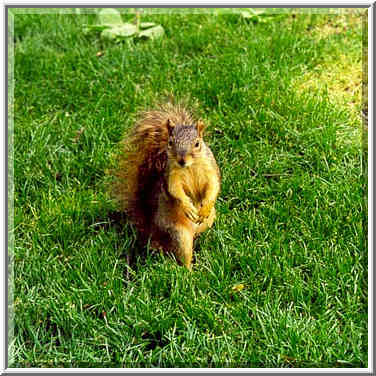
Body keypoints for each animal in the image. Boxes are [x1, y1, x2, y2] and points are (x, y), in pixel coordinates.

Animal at [113, 101, 222, 268]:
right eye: (170, 143)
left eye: (197, 144)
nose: (181, 160)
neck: (189, 167)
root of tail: (153, 233)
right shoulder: (171, 175)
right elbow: (175, 191)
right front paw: (188, 207)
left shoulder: (210, 169)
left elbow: (213, 186)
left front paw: (205, 208)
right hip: (178, 234)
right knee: (183, 255)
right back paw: (191, 270)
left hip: (208, 222)